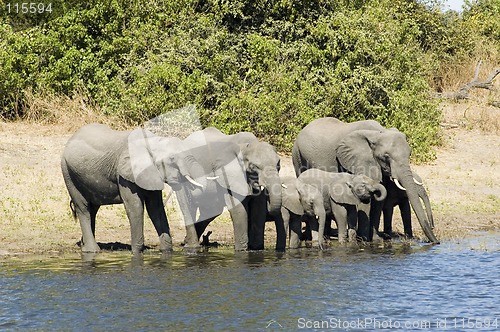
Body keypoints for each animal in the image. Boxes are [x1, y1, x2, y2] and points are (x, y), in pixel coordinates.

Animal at [61, 124, 206, 254]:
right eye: (172, 159)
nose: (190, 247)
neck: (153, 141)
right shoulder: (124, 176)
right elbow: (135, 207)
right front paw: (137, 252)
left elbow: (156, 208)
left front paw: (166, 251)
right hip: (68, 173)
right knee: (83, 208)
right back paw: (91, 250)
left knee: (93, 209)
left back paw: (84, 246)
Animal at [292, 118, 440, 243]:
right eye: (386, 156)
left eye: (409, 154)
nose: (436, 242)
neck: (378, 133)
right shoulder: (359, 162)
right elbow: (365, 199)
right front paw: (364, 240)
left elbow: (379, 199)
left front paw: (375, 240)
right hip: (298, 156)